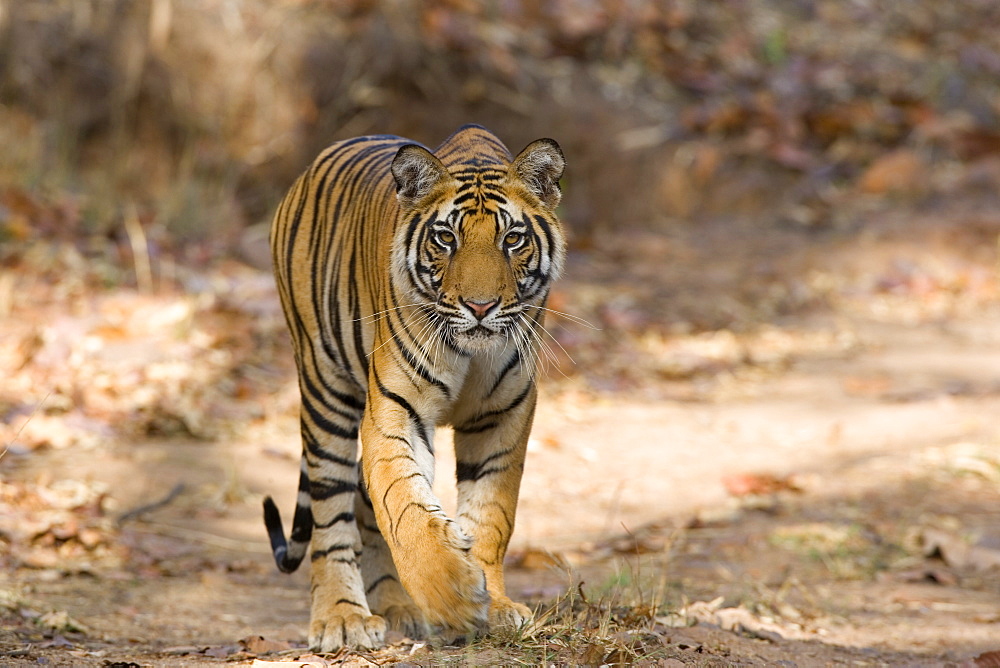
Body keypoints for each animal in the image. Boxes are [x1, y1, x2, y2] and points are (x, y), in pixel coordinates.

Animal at [262, 126, 568, 652]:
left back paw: (397, 607)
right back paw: (343, 617)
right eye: (446, 238)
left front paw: (495, 605)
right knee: (332, 516)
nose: (480, 307)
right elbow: (404, 507)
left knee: (364, 508)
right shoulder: (394, 412)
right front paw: (454, 595)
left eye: (512, 239)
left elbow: (490, 515)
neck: (471, 352)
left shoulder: (504, 414)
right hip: (325, 393)